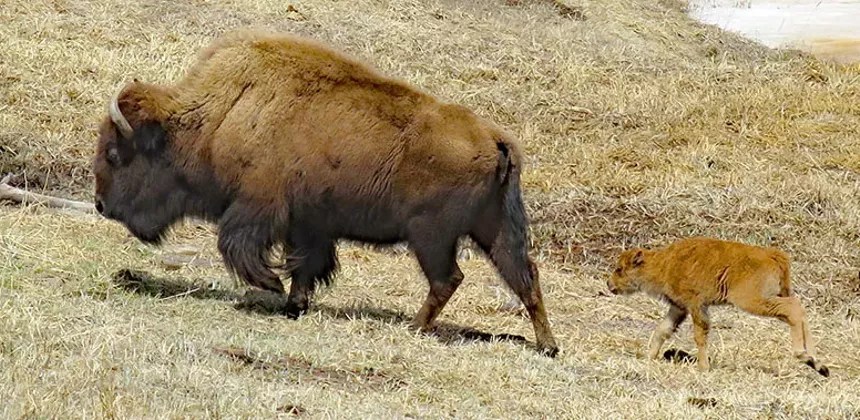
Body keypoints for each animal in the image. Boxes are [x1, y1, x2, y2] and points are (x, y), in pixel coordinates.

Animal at [92, 29, 559, 357]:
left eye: (115, 153)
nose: (100, 204)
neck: (224, 113)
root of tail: (497, 139)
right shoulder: (309, 223)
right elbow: (306, 263)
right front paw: (294, 304)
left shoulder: (258, 207)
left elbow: (239, 246)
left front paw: (271, 287)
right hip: (494, 230)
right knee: (525, 277)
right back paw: (548, 346)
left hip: (432, 235)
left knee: (449, 278)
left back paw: (415, 326)